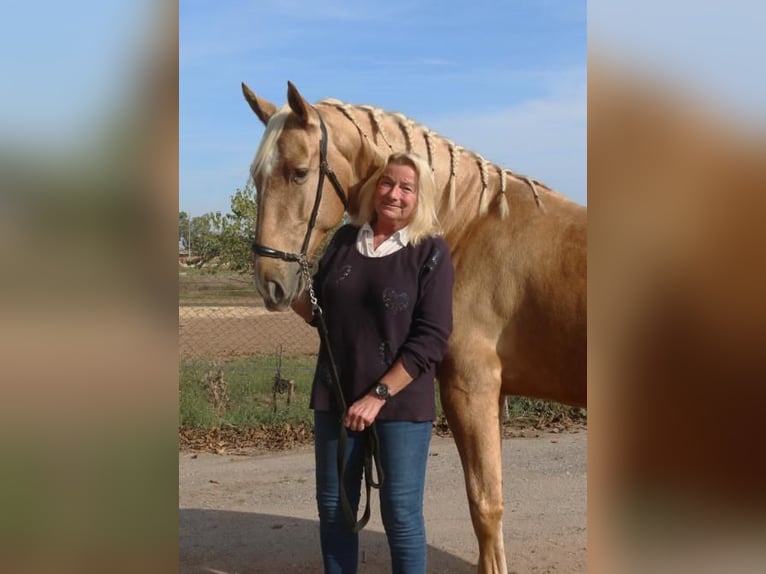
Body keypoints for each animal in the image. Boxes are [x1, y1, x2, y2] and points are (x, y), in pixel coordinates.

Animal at [242, 81, 588, 574]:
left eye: (299, 172)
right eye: (257, 176)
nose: (270, 282)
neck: (470, 224)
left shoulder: (472, 388)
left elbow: (485, 503)